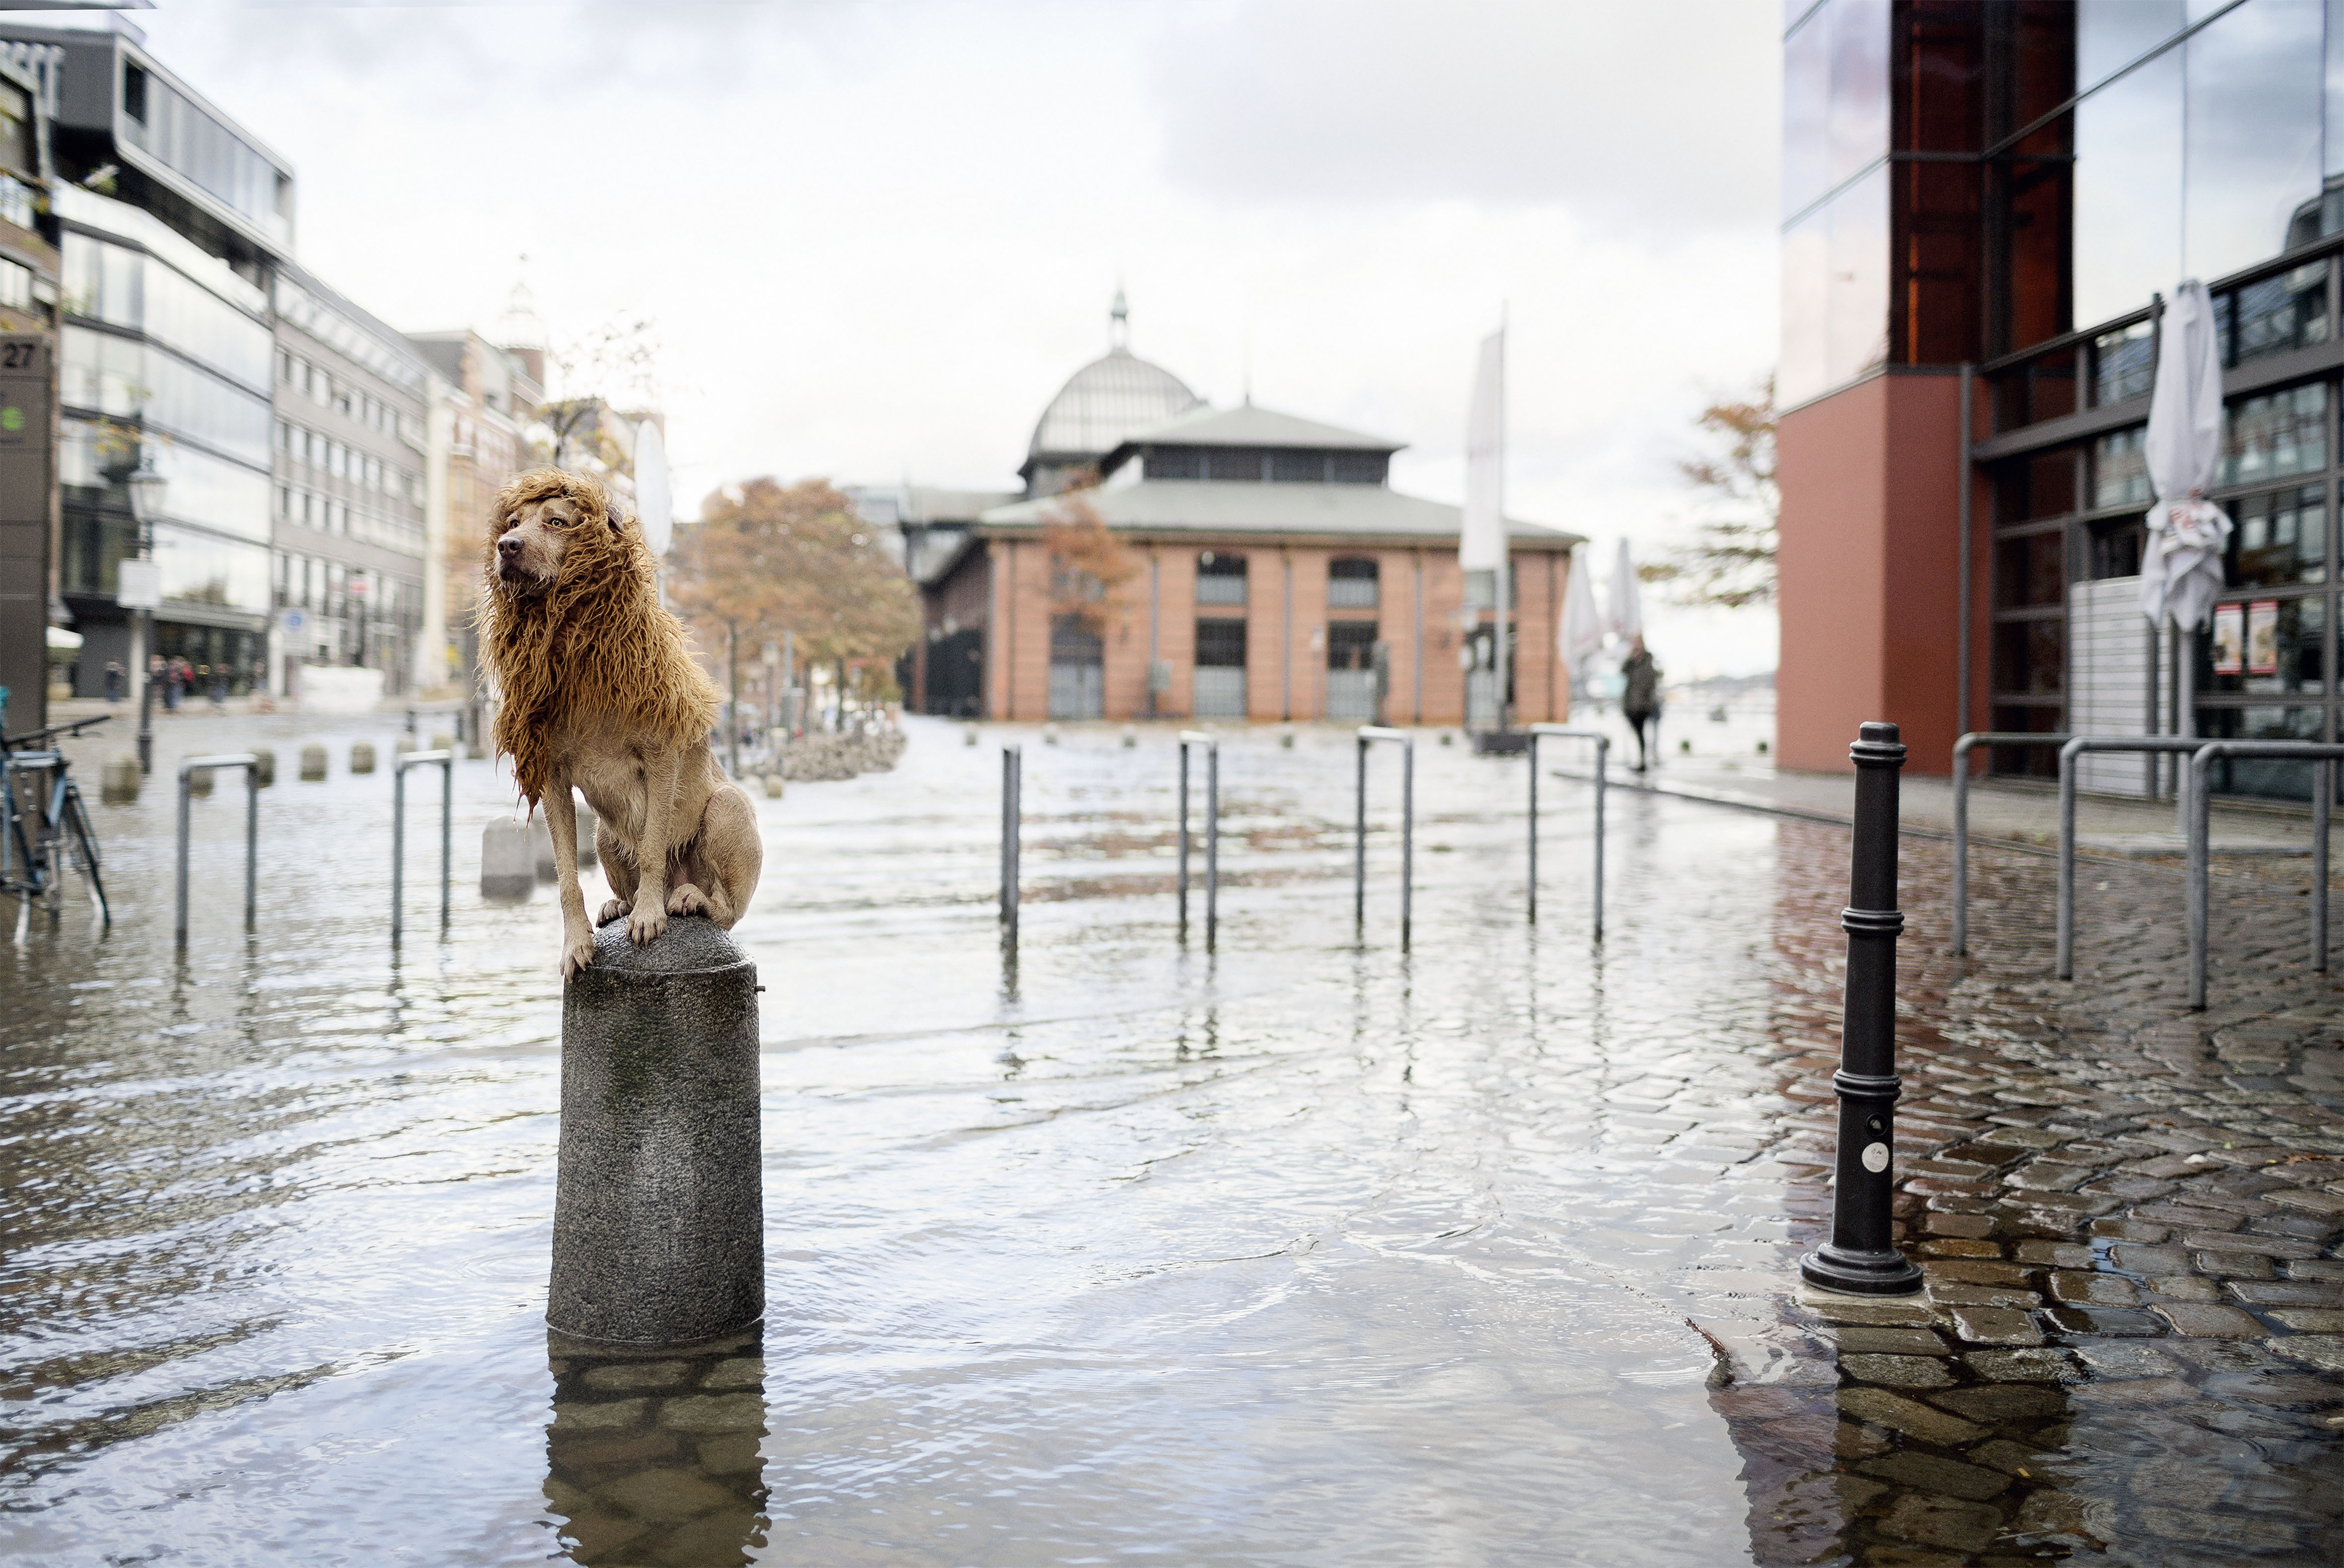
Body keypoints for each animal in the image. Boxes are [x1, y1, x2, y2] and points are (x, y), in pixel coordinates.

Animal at [478, 467, 761, 978]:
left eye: (556, 522)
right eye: (512, 522)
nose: (506, 546)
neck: (577, 651)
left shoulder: (661, 752)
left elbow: (651, 847)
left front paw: (648, 918)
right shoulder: (552, 776)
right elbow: (567, 875)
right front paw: (576, 943)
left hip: (727, 807)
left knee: (725, 908)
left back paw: (685, 900)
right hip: (604, 834)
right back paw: (620, 904)